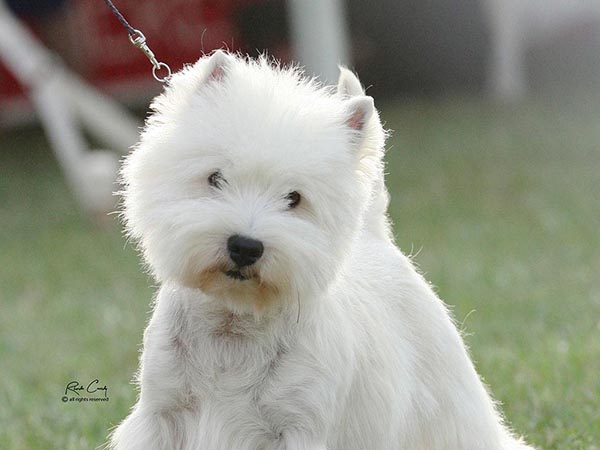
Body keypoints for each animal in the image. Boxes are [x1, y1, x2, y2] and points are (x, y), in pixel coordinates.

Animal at [110, 51, 536, 448]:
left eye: (294, 198)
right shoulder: (162, 414)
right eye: (215, 178)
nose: (245, 247)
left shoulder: (299, 425)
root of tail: (373, 234)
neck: (233, 326)